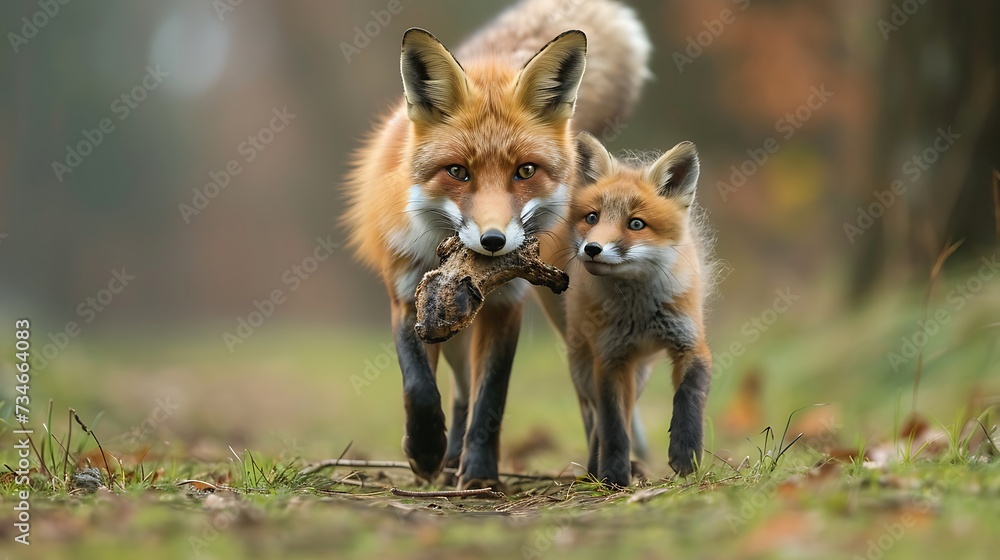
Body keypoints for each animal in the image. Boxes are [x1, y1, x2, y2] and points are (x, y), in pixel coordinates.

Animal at [343, 0, 651, 489]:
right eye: (457, 171)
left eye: (525, 171)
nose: (493, 241)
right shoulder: (409, 293)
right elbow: (419, 386)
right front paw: (426, 451)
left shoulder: (508, 303)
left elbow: (492, 397)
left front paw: (481, 476)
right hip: (452, 327)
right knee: (459, 390)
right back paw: (449, 459)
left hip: (568, 315)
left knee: (593, 392)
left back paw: (602, 465)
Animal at [545, 132, 715, 487]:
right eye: (592, 218)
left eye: (636, 224)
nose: (592, 249)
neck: (640, 314)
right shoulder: (610, 359)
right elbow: (613, 426)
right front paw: (612, 475)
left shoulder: (691, 344)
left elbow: (689, 396)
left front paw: (686, 453)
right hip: (586, 368)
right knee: (596, 420)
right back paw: (595, 469)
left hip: (640, 372)